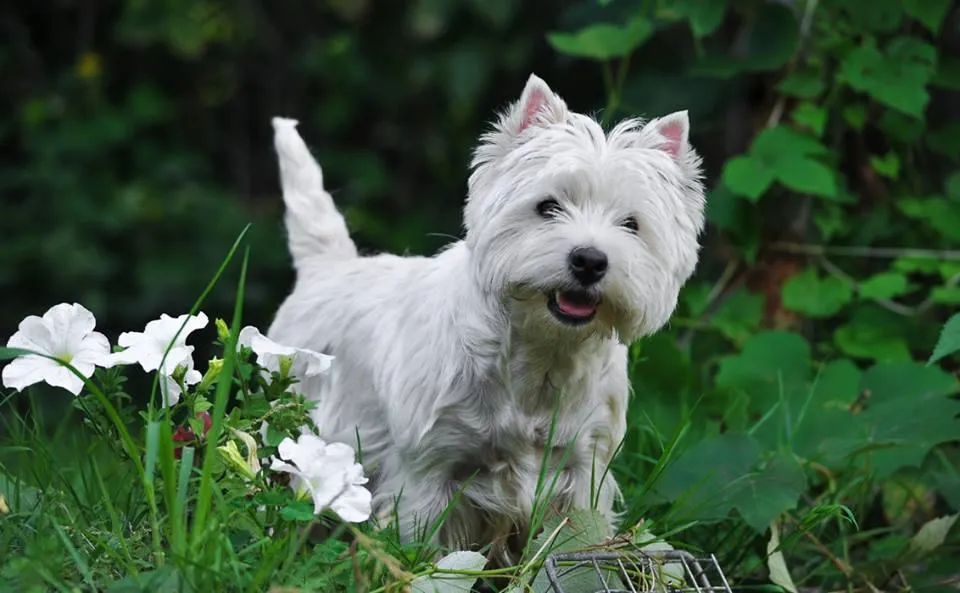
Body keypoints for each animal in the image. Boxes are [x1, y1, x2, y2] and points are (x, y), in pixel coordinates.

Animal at [268, 73, 704, 560]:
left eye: (631, 224)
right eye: (548, 206)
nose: (589, 260)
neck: (542, 356)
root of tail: (326, 267)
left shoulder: (582, 468)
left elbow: (574, 541)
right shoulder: (429, 471)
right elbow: (423, 543)